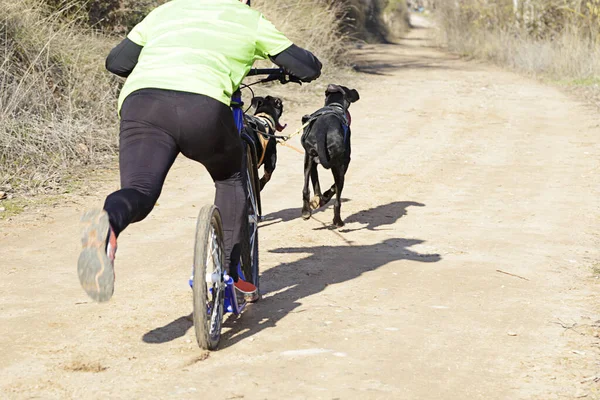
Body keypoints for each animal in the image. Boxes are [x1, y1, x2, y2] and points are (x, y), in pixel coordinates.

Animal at [302, 83, 358, 227]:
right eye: (350, 90)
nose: (355, 90)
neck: (334, 105)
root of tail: (323, 129)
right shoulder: (345, 161)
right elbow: (333, 188)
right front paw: (324, 197)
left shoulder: (312, 160)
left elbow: (315, 184)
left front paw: (319, 199)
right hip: (338, 165)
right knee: (337, 200)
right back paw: (338, 221)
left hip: (308, 160)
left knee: (305, 189)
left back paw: (306, 212)